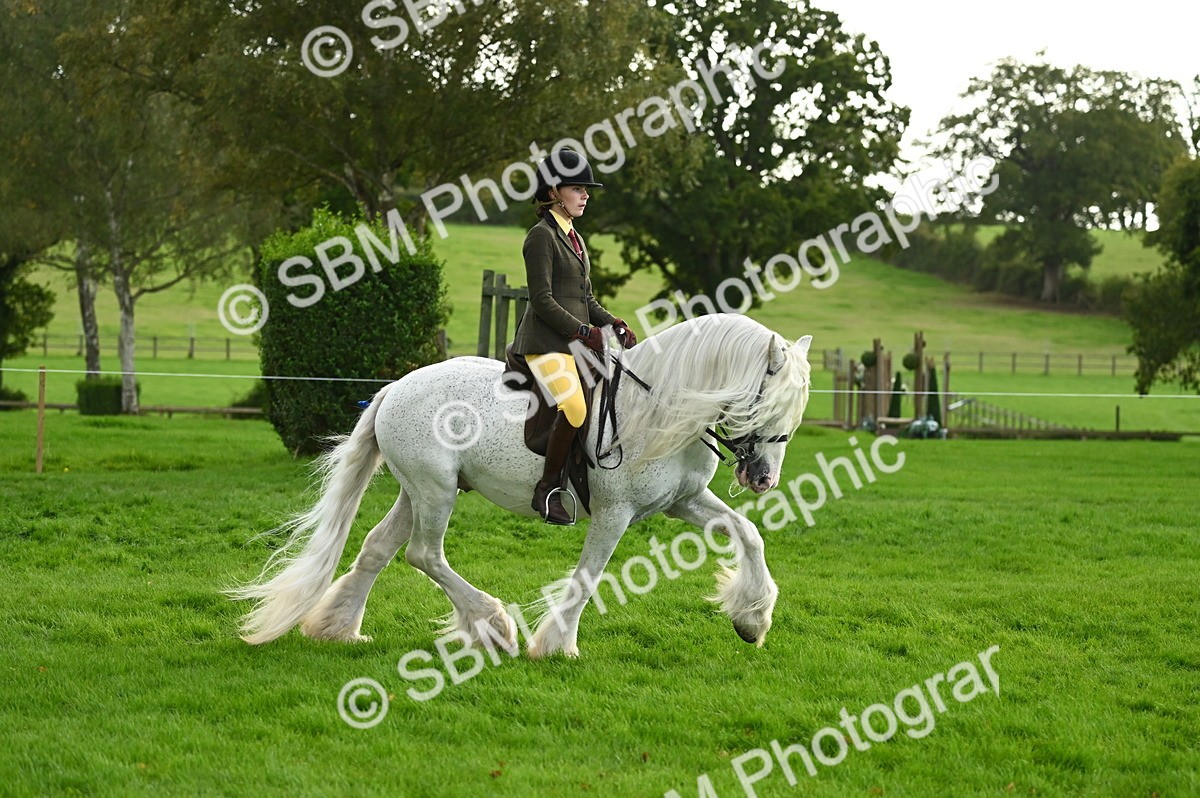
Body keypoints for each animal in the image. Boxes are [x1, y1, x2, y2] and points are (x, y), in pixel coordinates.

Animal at [228, 313, 812, 658]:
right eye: (766, 403)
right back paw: (492, 626)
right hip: (436, 491)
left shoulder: (684, 502)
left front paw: (752, 619)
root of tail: (396, 387)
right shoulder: (615, 513)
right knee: (423, 553)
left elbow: (749, 535)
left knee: (377, 547)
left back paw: (339, 628)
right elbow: (589, 575)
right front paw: (557, 646)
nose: (763, 478)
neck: (662, 406)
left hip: (418, 489)